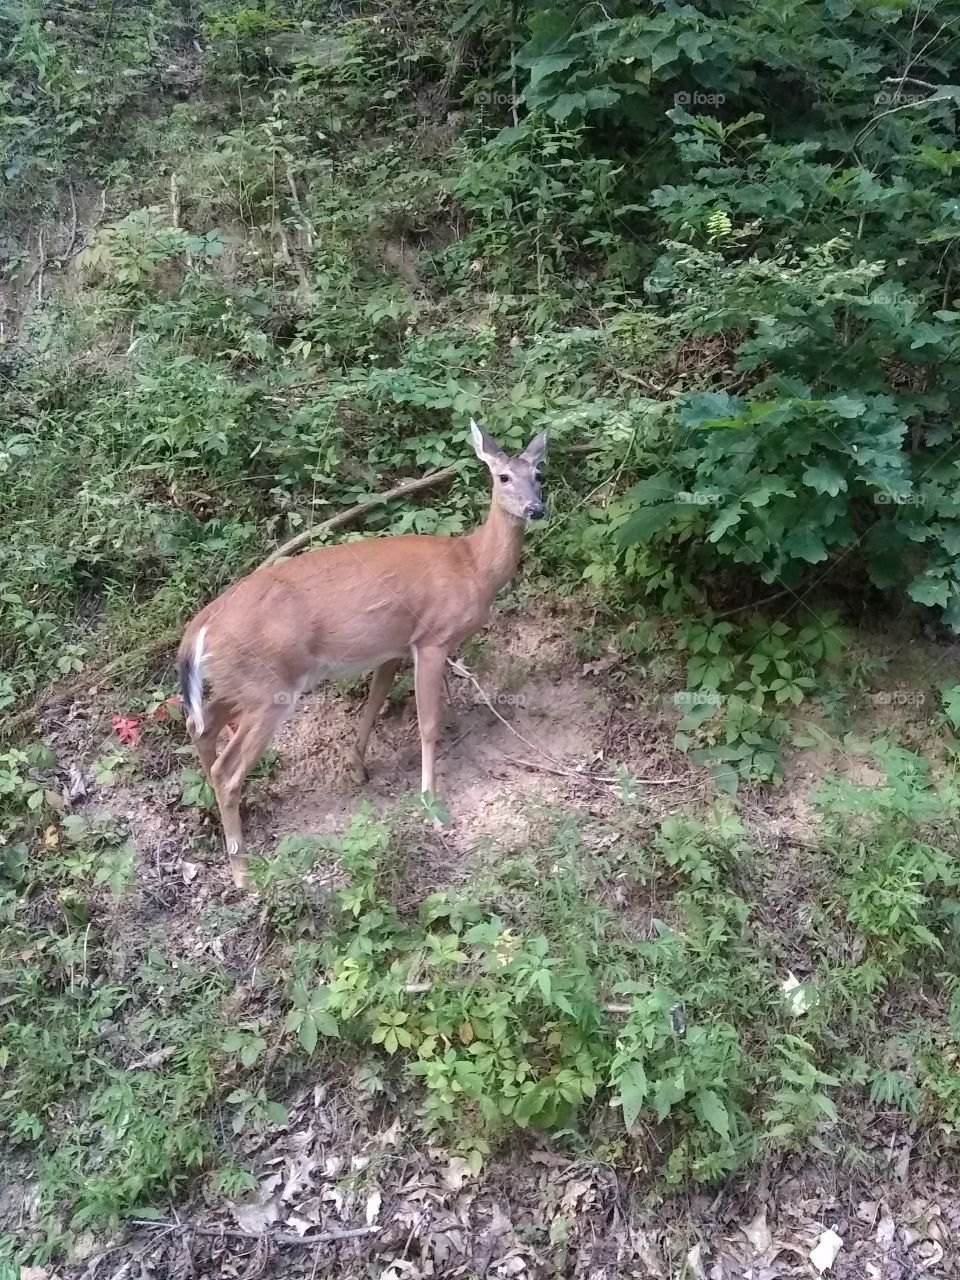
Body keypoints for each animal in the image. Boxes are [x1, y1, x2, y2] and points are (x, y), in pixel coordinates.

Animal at [177, 420, 548, 889]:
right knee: (227, 770)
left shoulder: (392, 646)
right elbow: (428, 725)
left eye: (539, 474)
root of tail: (198, 629)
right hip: (269, 688)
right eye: (503, 477)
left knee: (199, 726)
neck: (473, 566)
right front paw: (431, 807)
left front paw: (357, 768)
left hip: (243, 681)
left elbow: (374, 702)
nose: (536, 509)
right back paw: (244, 874)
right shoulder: (432, 639)